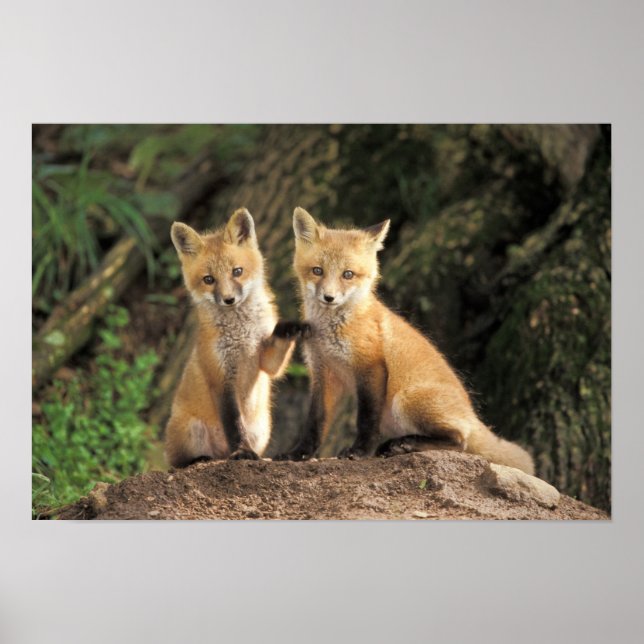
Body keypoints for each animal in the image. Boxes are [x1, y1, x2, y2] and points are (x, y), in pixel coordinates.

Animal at [165, 207, 307, 467]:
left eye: (237, 272)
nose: (229, 299)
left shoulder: (265, 360)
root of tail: (220, 454)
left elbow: (275, 355)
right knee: (178, 462)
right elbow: (234, 425)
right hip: (191, 431)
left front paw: (290, 327)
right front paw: (242, 451)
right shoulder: (221, 377)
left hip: (262, 429)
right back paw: (201, 459)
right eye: (209, 279)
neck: (242, 334)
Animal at [277, 206, 535, 475]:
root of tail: (472, 415)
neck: (331, 330)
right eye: (317, 270)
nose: (329, 297)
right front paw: (299, 454)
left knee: (460, 441)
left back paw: (406, 445)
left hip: (404, 399)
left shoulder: (371, 366)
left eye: (348, 274)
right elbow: (315, 421)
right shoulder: (323, 372)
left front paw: (360, 452)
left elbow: (366, 419)